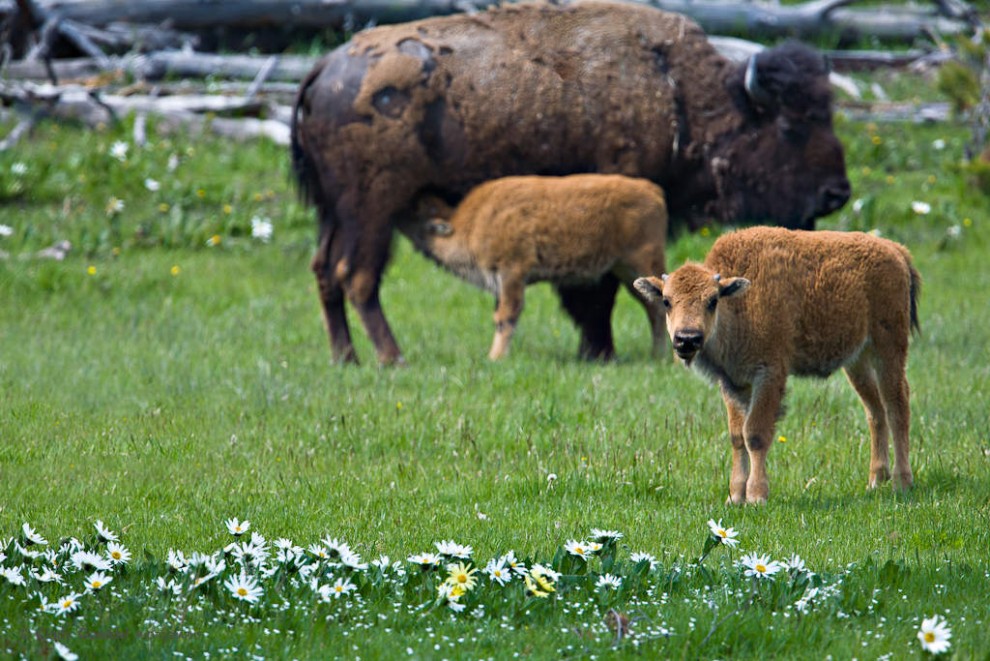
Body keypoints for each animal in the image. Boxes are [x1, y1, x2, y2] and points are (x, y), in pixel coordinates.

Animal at [402, 174, 668, 360]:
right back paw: (657, 355)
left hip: (642, 262)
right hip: (624, 271)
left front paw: (496, 357)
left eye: (417, 215)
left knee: (659, 307)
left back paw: (662, 357)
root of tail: (652, 190)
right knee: (651, 307)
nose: (401, 212)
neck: (472, 222)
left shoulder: (512, 273)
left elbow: (507, 316)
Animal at [636, 224, 924, 502]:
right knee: (875, 411)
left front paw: (756, 496)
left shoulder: (769, 374)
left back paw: (901, 482)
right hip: (857, 360)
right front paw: (734, 496)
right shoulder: (733, 382)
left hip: (888, 348)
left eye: (712, 301)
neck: (740, 303)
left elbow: (755, 433)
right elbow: (737, 436)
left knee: (897, 405)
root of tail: (896, 251)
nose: (687, 339)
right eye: (666, 301)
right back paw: (876, 480)